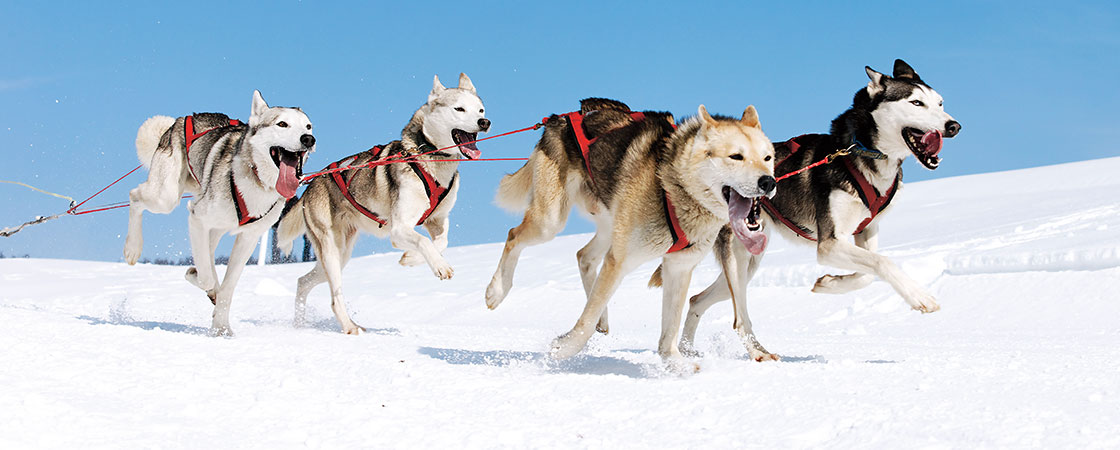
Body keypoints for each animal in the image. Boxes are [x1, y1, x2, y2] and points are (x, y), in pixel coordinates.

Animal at [126, 90, 315, 333]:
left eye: (308, 126)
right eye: (282, 124)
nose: (308, 139)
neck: (257, 182)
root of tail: (182, 119)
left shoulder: (248, 238)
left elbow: (228, 287)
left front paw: (221, 328)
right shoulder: (197, 218)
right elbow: (206, 277)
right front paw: (204, 283)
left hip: (213, 227)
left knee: (208, 253)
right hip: (165, 198)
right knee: (134, 196)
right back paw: (132, 248)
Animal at [274, 72, 486, 333]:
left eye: (480, 110)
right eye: (459, 109)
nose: (485, 122)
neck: (429, 157)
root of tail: (312, 183)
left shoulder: (436, 219)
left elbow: (441, 241)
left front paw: (412, 258)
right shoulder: (399, 228)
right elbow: (424, 241)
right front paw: (439, 265)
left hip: (339, 255)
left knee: (302, 281)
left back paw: (300, 324)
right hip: (331, 252)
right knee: (334, 297)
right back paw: (349, 326)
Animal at [672, 59, 963, 360]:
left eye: (940, 103)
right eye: (916, 103)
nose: (953, 126)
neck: (860, 152)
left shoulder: (866, 230)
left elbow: (868, 274)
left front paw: (829, 284)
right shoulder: (829, 244)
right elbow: (884, 262)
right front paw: (921, 297)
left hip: (750, 260)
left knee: (696, 299)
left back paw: (687, 351)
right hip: (738, 259)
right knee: (739, 317)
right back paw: (758, 353)